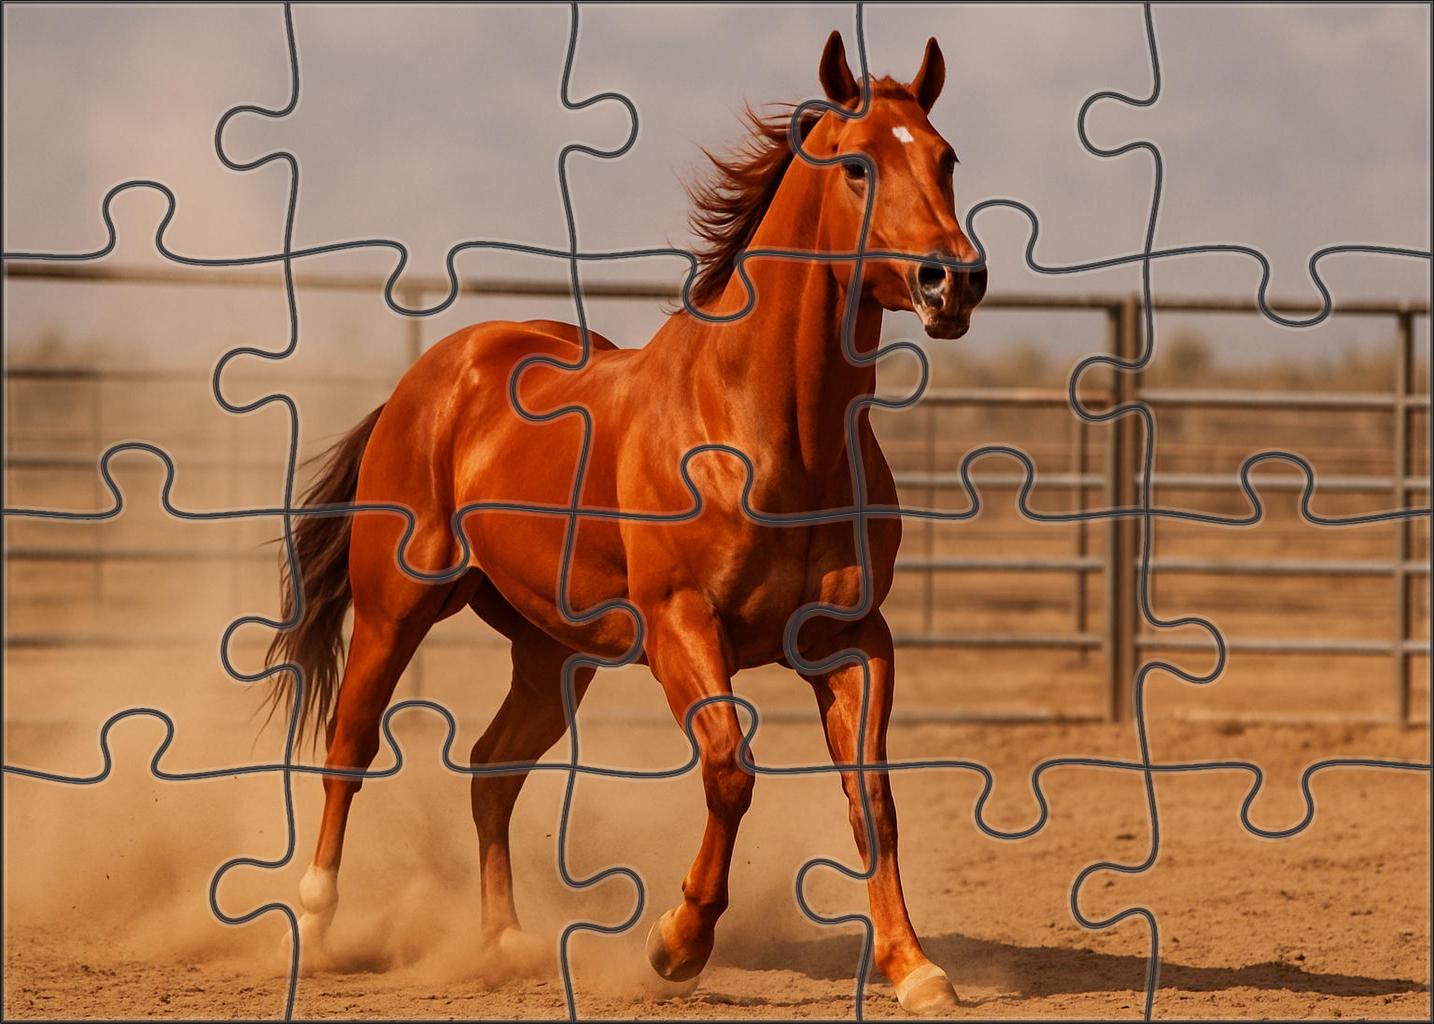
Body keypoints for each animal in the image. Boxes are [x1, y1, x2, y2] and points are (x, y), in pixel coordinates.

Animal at [267, 30, 986, 1014]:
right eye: (855, 165)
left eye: (947, 158)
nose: (952, 280)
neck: (768, 435)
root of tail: (432, 378)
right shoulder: (683, 627)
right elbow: (729, 769)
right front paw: (676, 944)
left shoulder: (853, 639)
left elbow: (872, 801)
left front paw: (915, 968)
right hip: (394, 610)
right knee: (350, 744)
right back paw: (314, 922)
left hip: (552, 655)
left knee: (491, 769)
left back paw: (507, 942)